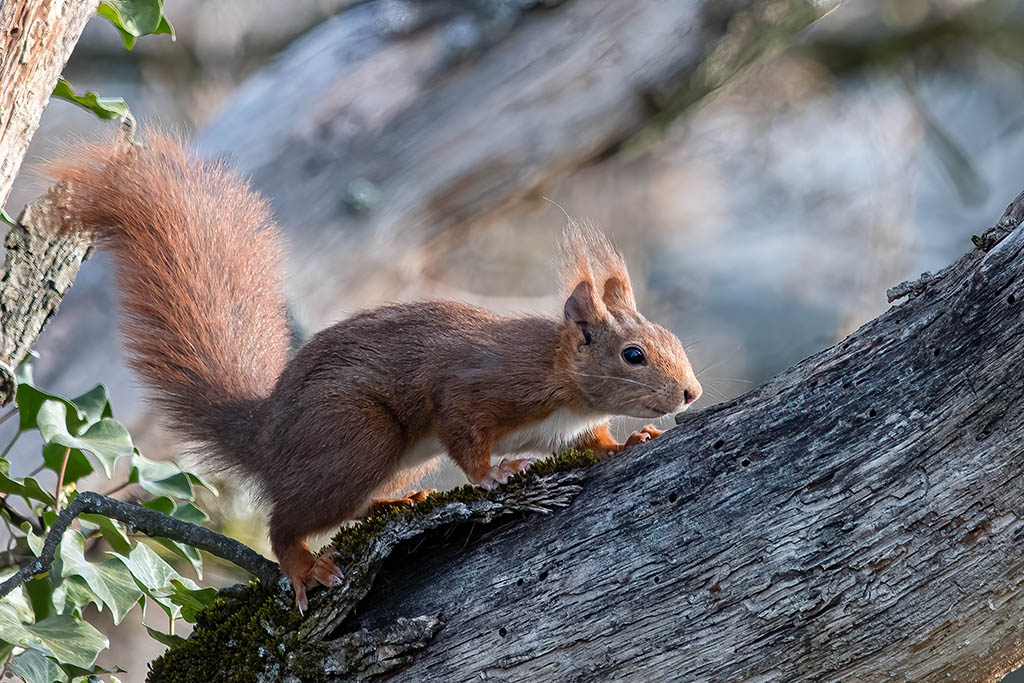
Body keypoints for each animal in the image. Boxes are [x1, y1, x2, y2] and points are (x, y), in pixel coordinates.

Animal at [49, 131, 704, 610]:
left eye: (672, 338)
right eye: (633, 355)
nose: (691, 393)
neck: (564, 383)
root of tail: (268, 437)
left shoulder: (566, 425)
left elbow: (594, 440)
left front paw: (629, 439)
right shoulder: (475, 384)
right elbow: (465, 434)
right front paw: (494, 474)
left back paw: (394, 501)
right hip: (357, 437)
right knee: (284, 520)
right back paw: (303, 565)